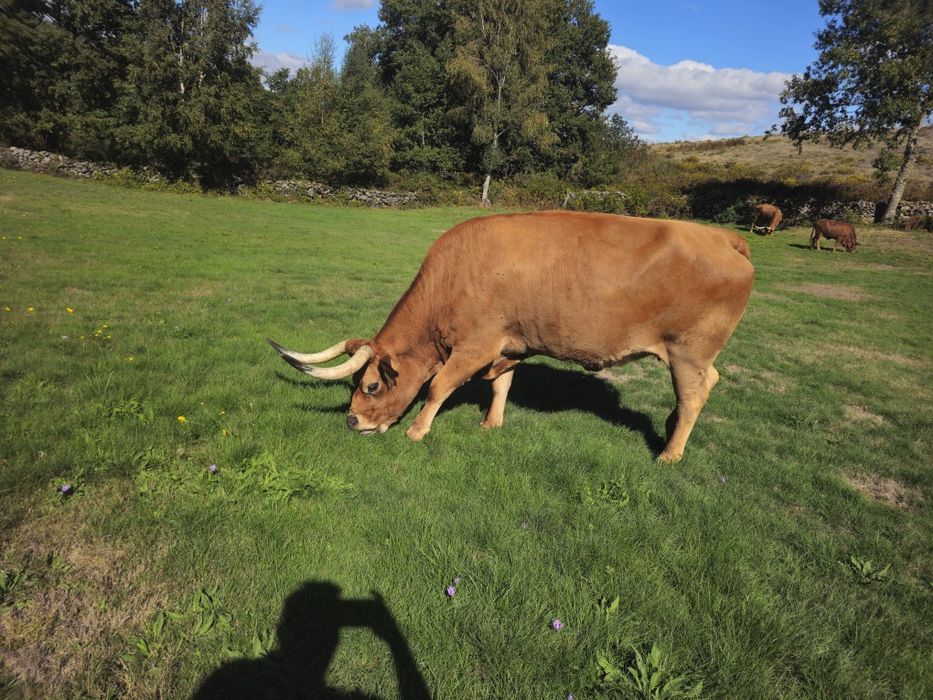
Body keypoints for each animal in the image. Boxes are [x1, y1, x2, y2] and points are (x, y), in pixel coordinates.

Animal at [269, 212, 754, 463]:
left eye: (370, 386)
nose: (352, 422)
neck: (455, 275)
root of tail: (723, 238)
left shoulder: (475, 346)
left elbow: (438, 386)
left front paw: (417, 431)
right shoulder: (508, 345)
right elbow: (501, 384)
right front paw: (491, 423)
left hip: (687, 352)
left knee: (693, 396)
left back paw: (670, 453)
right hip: (695, 356)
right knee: (708, 384)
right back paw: (671, 430)